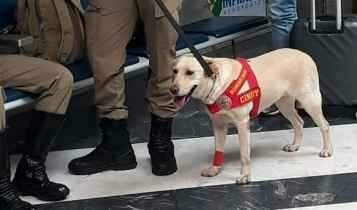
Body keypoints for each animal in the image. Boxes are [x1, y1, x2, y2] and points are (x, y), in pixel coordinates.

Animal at [170, 48, 330, 184]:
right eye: (174, 71)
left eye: (190, 72)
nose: (172, 89)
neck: (217, 84)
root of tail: (304, 54)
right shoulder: (218, 125)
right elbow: (218, 149)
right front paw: (215, 169)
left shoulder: (242, 123)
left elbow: (244, 154)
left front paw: (245, 176)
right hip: (284, 104)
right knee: (298, 122)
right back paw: (295, 145)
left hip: (310, 101)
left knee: (325, 125)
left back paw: (327, 150)